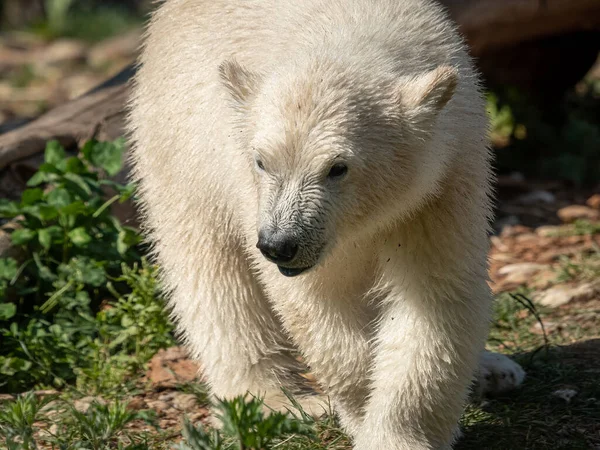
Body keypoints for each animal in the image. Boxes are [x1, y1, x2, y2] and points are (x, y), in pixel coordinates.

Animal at [127, 0, 524, 448]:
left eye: (337, 167)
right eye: (262, 161)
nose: (279, 244)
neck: (344, 28)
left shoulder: (442, 181)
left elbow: (434, 296)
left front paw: (393, 435)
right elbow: (320, 304)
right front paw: (359, 403)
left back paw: (495, 370)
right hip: (179, 148)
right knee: (216, 281)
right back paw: (274, 401)